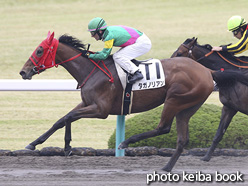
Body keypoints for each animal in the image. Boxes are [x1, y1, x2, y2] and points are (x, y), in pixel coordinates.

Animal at [19, 31, 248, 171]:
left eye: (39, 50)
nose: (23, 71)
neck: (92, 70)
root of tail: (208, 72)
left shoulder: (100, 110)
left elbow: (69, 117)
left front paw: (66, 147)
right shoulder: (87, 104)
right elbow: (62, 119)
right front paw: (35, 143)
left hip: (175, 99)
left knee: (163, 128)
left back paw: (127, 142)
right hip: (189, 106)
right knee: (182, 139)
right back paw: (166, 168)